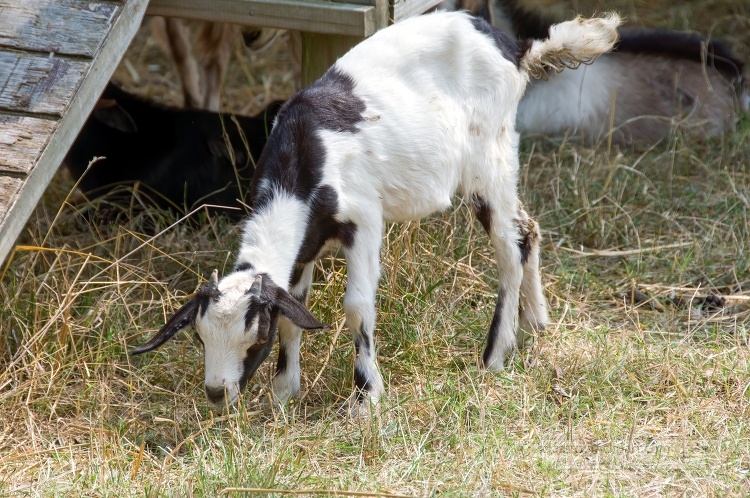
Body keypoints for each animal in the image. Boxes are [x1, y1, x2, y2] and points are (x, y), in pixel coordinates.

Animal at [131, 10, 624, 408]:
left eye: (254, 337)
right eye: (198, 336)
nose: (217, 393)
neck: (303, 159)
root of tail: (516, 48)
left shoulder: (364, 219)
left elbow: (356, 305)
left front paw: (366, 396)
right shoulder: (305, 242)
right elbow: (297, 309)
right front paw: (283, 392)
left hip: (489, 158)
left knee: (509, 246)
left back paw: (495, 355)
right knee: (529, 228)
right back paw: (537, 322)